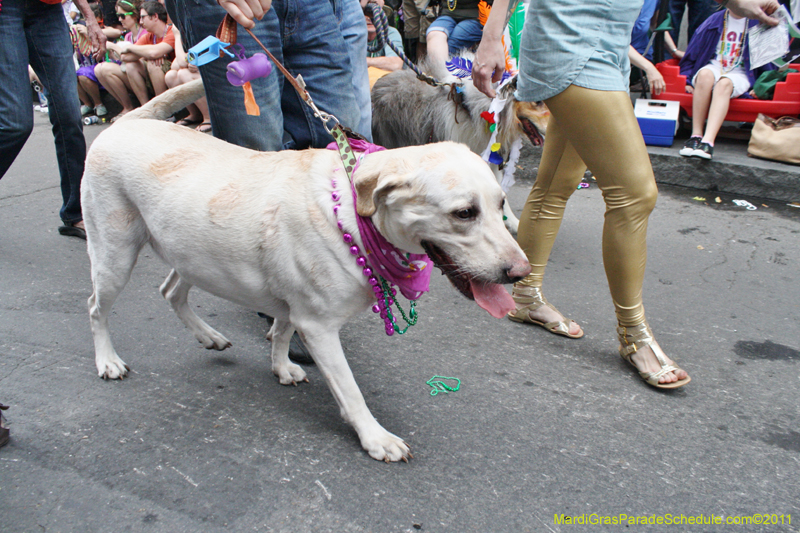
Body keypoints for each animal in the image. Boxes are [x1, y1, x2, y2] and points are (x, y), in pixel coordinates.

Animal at [83, 80, 532, 462]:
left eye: (501, 204)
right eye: (464, 213)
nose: (522, 272)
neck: (354, 217)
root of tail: (130, 121)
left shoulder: (294, 306)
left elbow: (281, 332)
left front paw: (281, 366)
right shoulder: (318, 326)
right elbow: (350, 390)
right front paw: (375, 437)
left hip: (190, 254)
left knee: (171, 291)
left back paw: (209, 336)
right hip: (114, 255)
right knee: (96, 309)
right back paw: (107, 361)